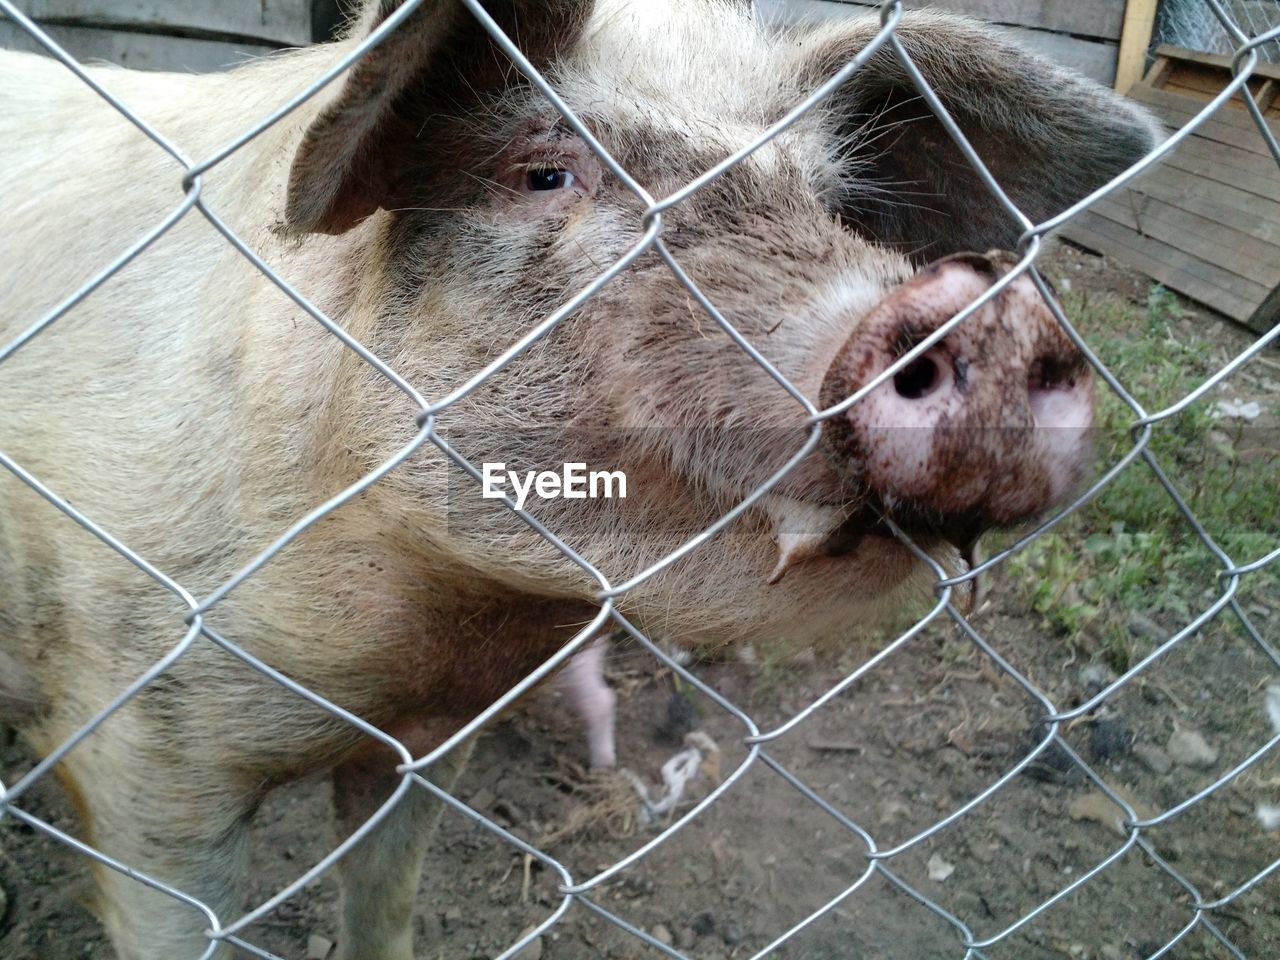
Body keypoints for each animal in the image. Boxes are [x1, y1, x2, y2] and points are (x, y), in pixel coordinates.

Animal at [0, 0, 1162, 957]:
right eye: (542, 174)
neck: (431, 631)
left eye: (833, 204)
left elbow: (388, 902)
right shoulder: (136, 749)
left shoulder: (429, 740)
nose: (989, 308)